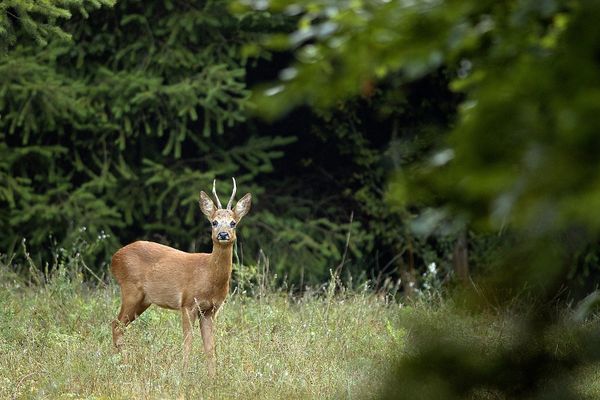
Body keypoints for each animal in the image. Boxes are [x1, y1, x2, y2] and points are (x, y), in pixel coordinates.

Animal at [110, 178, 251, 376]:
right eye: (214, 222)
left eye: (233, 223)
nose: (223, 235)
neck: (209, 276)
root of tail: (114, 258)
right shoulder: (187, 303)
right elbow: (188, 342)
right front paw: (183, 374)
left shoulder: (210, 310)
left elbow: (210, 347)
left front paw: (213, 378)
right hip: (130, 291)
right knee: (116, 325)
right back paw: (124, 364)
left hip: (144, 300)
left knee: (118, 326)